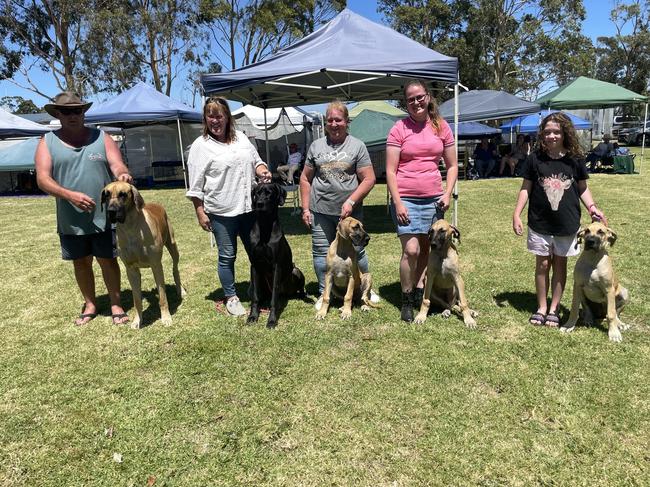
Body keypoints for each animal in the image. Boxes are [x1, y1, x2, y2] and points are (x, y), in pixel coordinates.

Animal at [100, 181, 185, 330]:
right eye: (106, 194)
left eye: (123, 194)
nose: (111, 211)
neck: (130, 228)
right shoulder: (131, 269)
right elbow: (137, 300)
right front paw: (137, 320)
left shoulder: (156, 265)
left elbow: (162, 296)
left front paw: (166, 318)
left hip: (173, 246)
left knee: (175, 268)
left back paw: (181, 290)